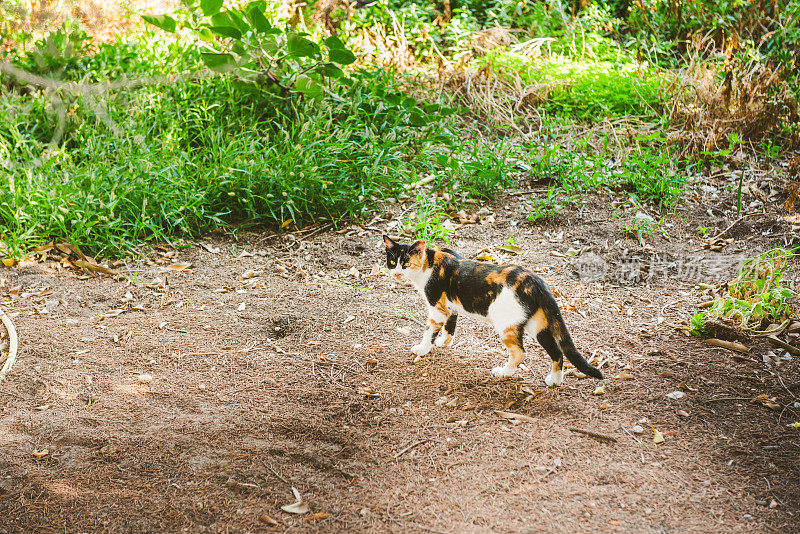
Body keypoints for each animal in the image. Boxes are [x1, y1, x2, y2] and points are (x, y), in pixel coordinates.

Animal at [384, 237, 604, 388]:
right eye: (392, 262)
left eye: (406, 263)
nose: (397, 273)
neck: (429, 261)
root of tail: (535, 282)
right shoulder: (449, 306)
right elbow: (451, 324)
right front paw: (444, 342)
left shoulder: (436, 307)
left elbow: (429, 330)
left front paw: (422, 349)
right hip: (538, 325)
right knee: (557, 352)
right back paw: (554, 381)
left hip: (506, 324)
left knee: (520, 353)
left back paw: (503, 372)